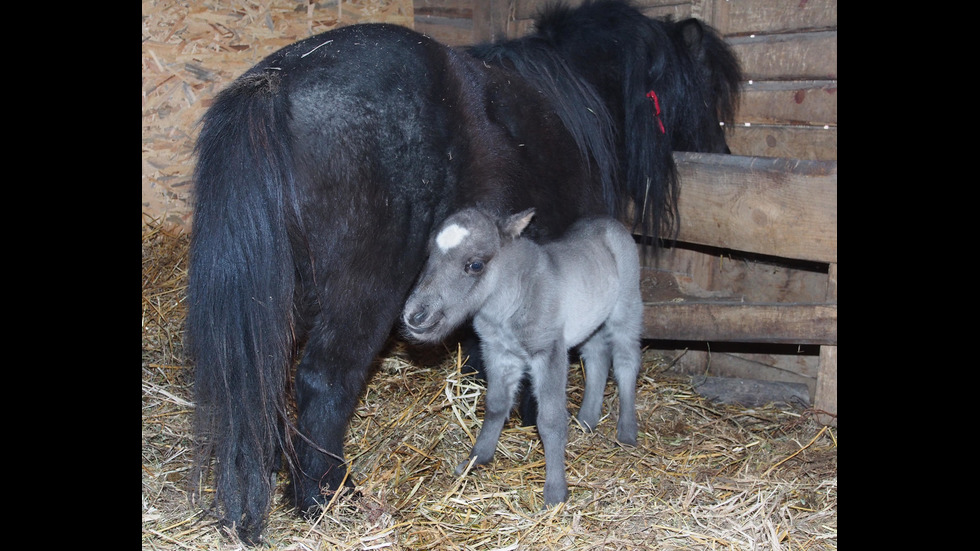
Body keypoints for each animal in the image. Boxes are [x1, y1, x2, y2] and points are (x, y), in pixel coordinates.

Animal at [184, 0, 740, 544]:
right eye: (704, 91)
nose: (723, 155)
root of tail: (277, 83)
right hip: (364, 295)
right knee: (323, 380)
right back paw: (325, 497)